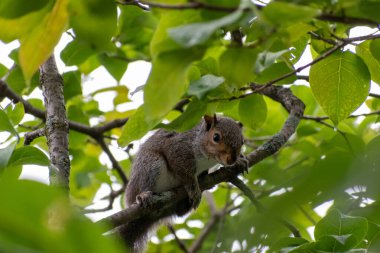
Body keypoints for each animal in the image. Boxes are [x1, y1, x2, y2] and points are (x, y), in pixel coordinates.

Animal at [121, 114, 246, 251]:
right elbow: (185, 174)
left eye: (242, 141)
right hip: (150, 166)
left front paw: (240, 161)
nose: (232, 159)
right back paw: (144, 195)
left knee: (180, 212)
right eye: (216, 137)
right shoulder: (178, 148)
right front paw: (194, 189)